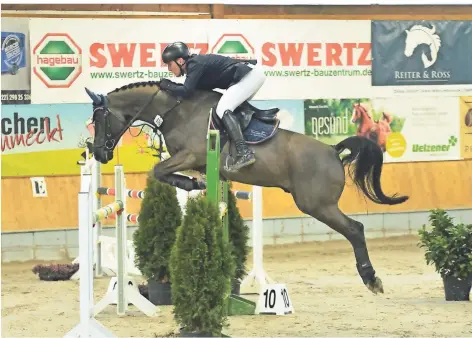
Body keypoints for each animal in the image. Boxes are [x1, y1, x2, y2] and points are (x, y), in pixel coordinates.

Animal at [85, 80, 410, 294]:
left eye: (99, 119)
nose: (99, 153)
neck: (176, 110)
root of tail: (333, 150)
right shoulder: (191, 160)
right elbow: (166, 173)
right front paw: (195, 182)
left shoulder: (190, 155)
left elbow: (158, 170)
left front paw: (189, 183)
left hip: (317, 205)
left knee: (355, 230)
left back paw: (372, 280)